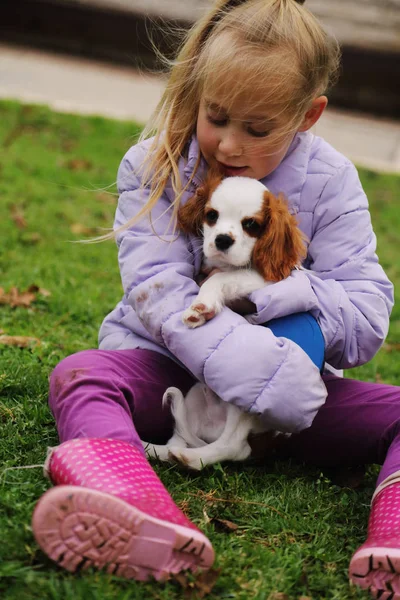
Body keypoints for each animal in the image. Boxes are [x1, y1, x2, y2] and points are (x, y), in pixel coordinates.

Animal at [143, 173, 306, 468]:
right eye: (211, 216)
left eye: (251, 224)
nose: (221, 240)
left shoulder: (269, 280)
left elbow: (221, 278)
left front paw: (202, 307)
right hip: (195, 394)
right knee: (177, 439)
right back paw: (149, 448)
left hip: (245, 399)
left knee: (233, 446)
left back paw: (191, 458)